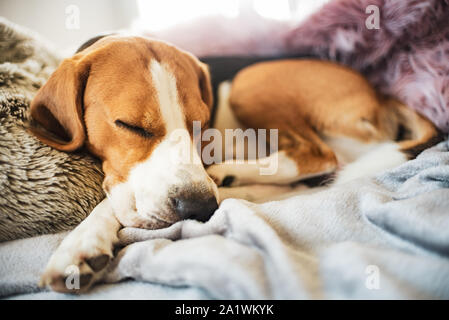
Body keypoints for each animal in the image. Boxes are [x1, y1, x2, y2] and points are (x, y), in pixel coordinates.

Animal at [30, 35, 438, 292]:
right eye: (129, 126)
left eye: (201, 122)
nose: (199, 208)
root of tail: (380, 97)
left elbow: (110, 203)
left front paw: (78, 244)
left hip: (249, 82)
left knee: (318, 156)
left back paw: (230, 174)